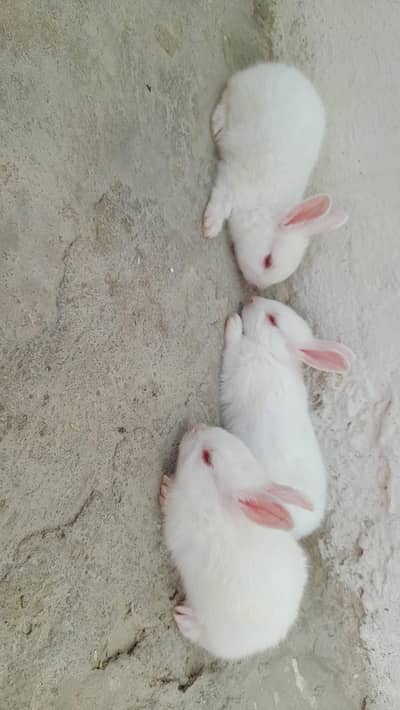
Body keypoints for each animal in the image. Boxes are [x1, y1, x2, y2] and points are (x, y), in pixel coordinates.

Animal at [160, 424, 309, 660]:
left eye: (207, 457)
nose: (196, 427)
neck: (213, 503)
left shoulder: (178, 525)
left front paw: (166, 490)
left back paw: (185, 620)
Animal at [203, 62, 348, 288]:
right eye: (267, 260)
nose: (257, 286)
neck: (264, 209)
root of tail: (285, 69)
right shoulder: (233, 182)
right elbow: (221, 202)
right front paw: (210, 227)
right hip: (242, 92)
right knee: (228, 90)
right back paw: (218, 125)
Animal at [221, 298, 354, 539]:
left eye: (273, 320)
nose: (250, 300)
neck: (272, 353)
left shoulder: (238, 360)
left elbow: (233, 343)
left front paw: (234, 323)